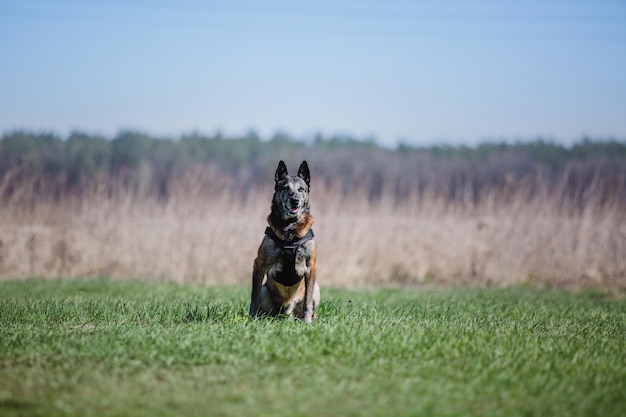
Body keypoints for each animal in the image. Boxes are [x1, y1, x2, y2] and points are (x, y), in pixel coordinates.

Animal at [247, 160, 320, 322]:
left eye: (301, 189)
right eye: (286, 188)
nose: (295, 201)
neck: (290, 232)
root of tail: (287, 312)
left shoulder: (311, 267)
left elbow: (307, 303)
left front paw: (307, 323)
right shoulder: (259, 265)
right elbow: (254, 298)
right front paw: (250, 319)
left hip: (317, 288)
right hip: (265, 291)